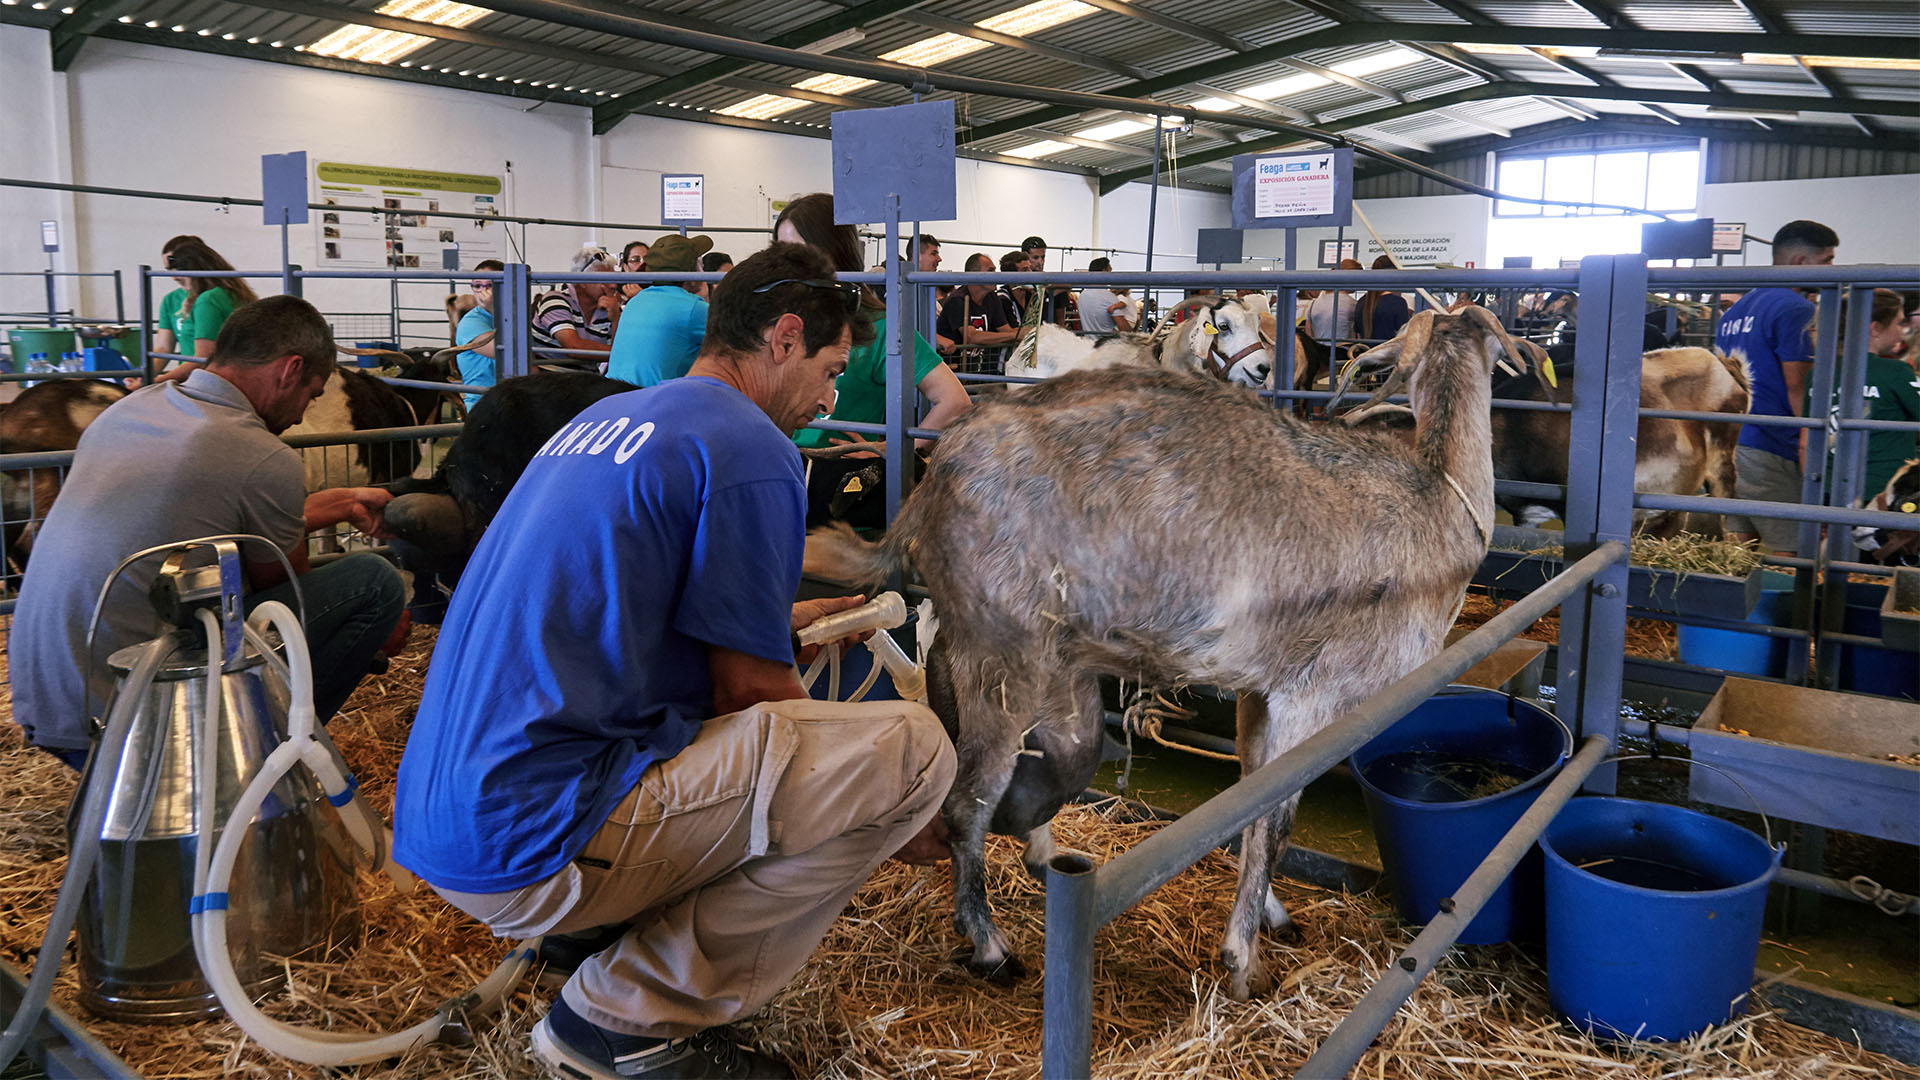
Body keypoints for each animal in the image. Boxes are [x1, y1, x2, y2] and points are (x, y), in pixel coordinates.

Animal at [802, 307, 1520, 999]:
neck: (1437, 503)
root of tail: (931, 484)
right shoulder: (1313, 695)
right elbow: (1276, 818)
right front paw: (1242, 963)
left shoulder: (1260, 692)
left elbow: (1252, 796)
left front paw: (1270, 918)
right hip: (1003, 658)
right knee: (968, 801)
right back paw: (991, 947)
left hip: (998, 653)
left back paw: (1039, 854)